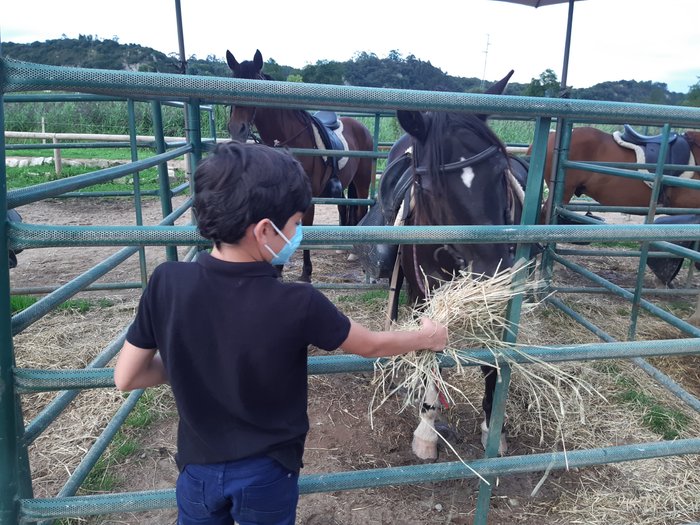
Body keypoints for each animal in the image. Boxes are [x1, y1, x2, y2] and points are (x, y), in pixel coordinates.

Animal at [227, 49, 374, 282]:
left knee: (360, 209)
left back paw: (353, 252)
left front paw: (306, 273)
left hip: (362, 181)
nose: (236, 129)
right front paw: (278, 269)